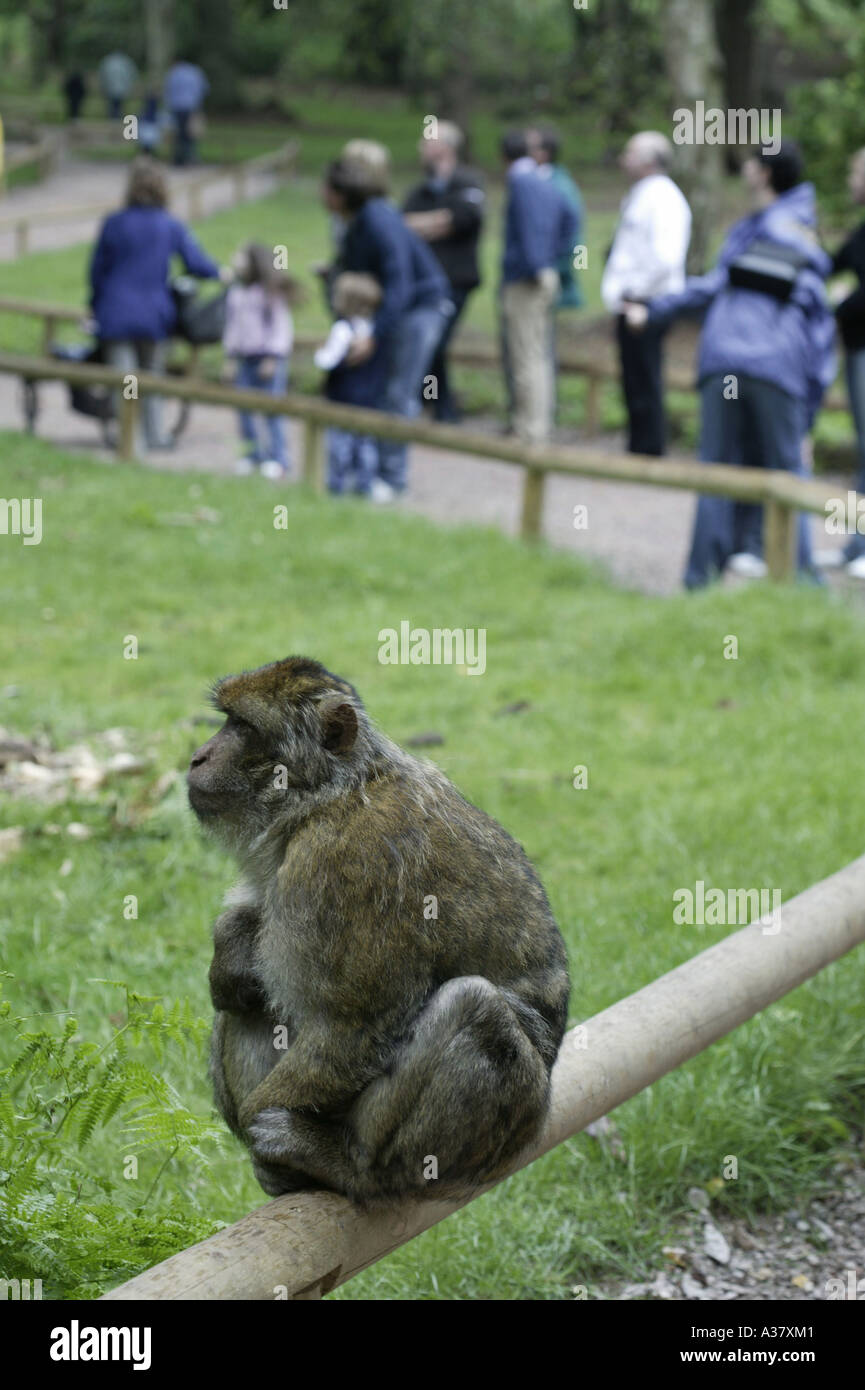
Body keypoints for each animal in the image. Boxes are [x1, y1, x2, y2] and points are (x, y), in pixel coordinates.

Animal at [187, 655, 570, 1206]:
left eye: (242, 727)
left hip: (501, 1130)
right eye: (225, 720)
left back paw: (347, 1166)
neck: (326, 797)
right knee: (243, 1005)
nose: (197, 757)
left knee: (475, 1009)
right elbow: (240, 971)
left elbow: (355, 1028)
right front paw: (232, 943)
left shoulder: (342, 864)